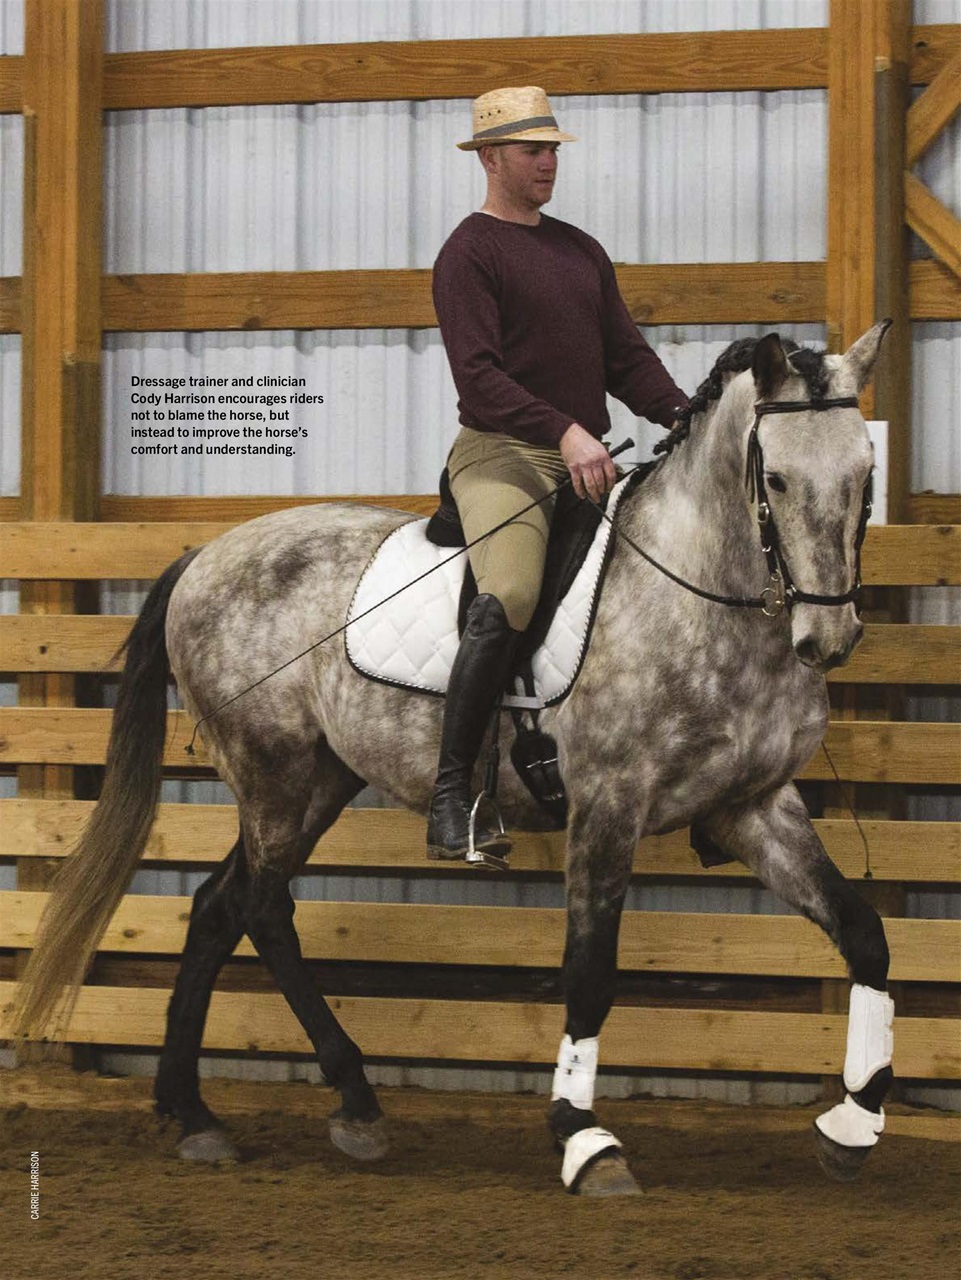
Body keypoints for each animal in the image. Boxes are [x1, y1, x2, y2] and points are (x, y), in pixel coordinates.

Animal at [13, 322, 895, 1195]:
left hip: (317, 781)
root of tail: (204, 555)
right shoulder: (609, 807)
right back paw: (344, 1101)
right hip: (274, 774)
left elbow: (863, 933)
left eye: (864, 473)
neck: (699, 594)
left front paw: (852, 1124)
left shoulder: (754, 805)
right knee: (260, 908)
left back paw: (200, 1113)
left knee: (217, 907)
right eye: (773, 478)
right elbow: (589, 973)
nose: (828, 638)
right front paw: (584, 1140)